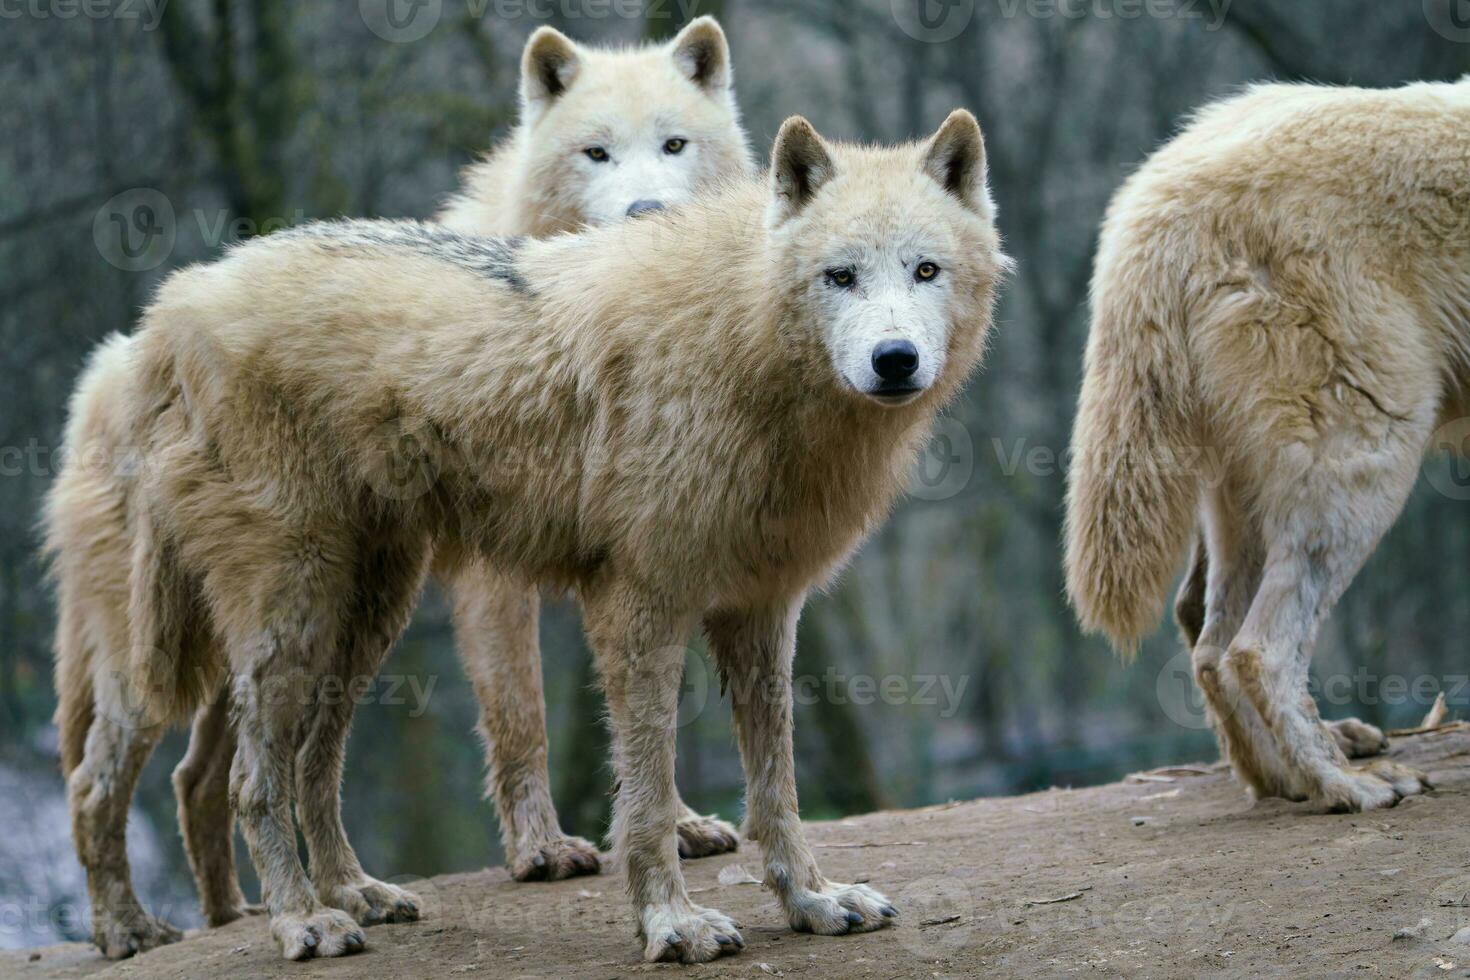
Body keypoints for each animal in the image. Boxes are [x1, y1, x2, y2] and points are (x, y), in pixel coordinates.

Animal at [48, 110, 1011, 963]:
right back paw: (249, 926)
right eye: (840, 276)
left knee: (305, 768)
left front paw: (811, 901)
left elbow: (777, 788)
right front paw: (672, 925)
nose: (894, 360)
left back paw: (351, 894)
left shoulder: (762, 611)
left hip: (361, 618)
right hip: (264, 622)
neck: (739, 338)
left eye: (925, 270)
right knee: (191, 781)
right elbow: (649, 795)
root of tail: (169, 312)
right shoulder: (640, 606)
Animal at [1070, 74, 1470, 811]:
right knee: (1258, 650)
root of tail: (1149, 208)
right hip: (1368, 457)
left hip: (1243, 492)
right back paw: (1348, 784)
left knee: (1208, 637)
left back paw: (1285, 780)